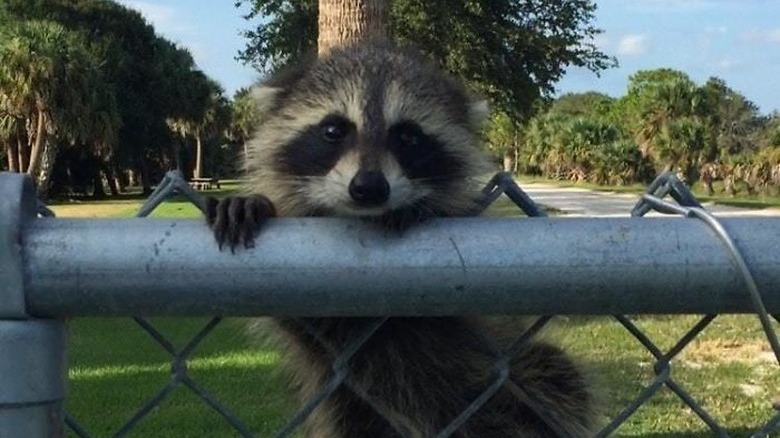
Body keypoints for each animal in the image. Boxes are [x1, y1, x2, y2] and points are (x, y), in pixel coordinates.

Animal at [206, 42, 596, 437]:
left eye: (408, 135)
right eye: (333, 129)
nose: (369, 187)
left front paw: (416, 206)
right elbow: (298, 319)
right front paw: (257, 203)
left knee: (556, 377)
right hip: (349, 410)